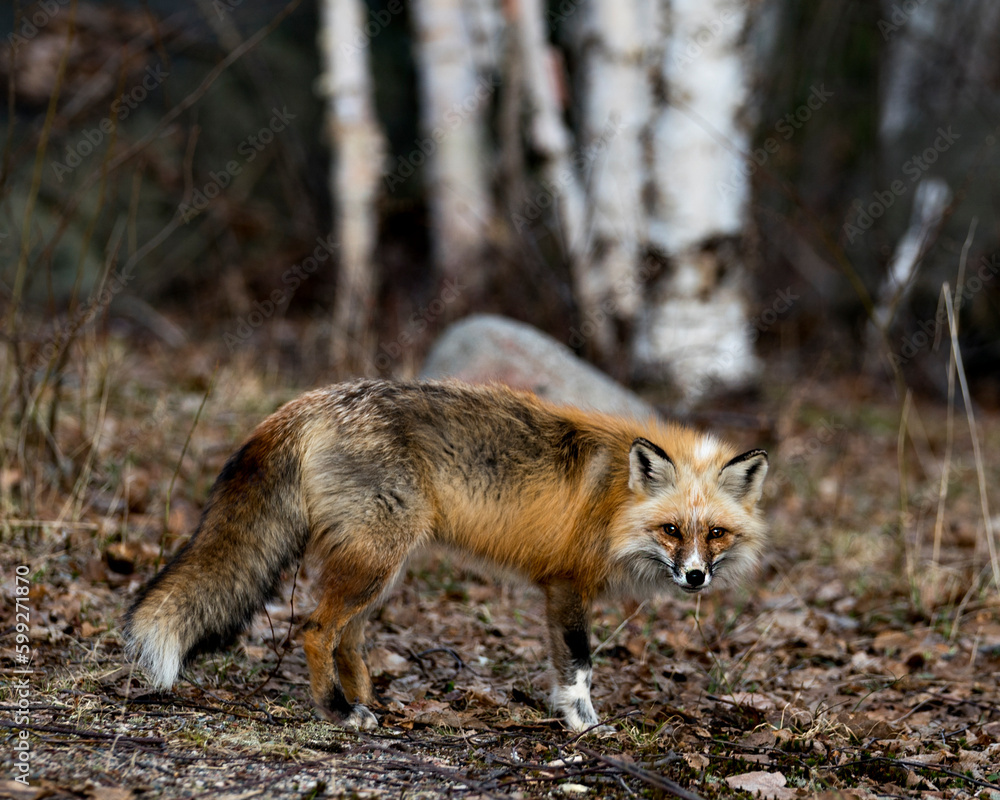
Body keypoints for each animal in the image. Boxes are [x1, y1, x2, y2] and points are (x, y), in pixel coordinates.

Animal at [123, 382, 764, 732]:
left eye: (716, 534)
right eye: (671, 529)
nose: (695, 577)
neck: (613, 503)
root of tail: (307, 401)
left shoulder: (558, 590)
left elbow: (563, 668)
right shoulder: (567, 585)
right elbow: (579, 667)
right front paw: (586, 728)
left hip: (381, 566)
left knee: (349, 639)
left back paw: (366, 703)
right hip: (375, 562)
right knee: (314, 629)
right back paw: (336, 711)